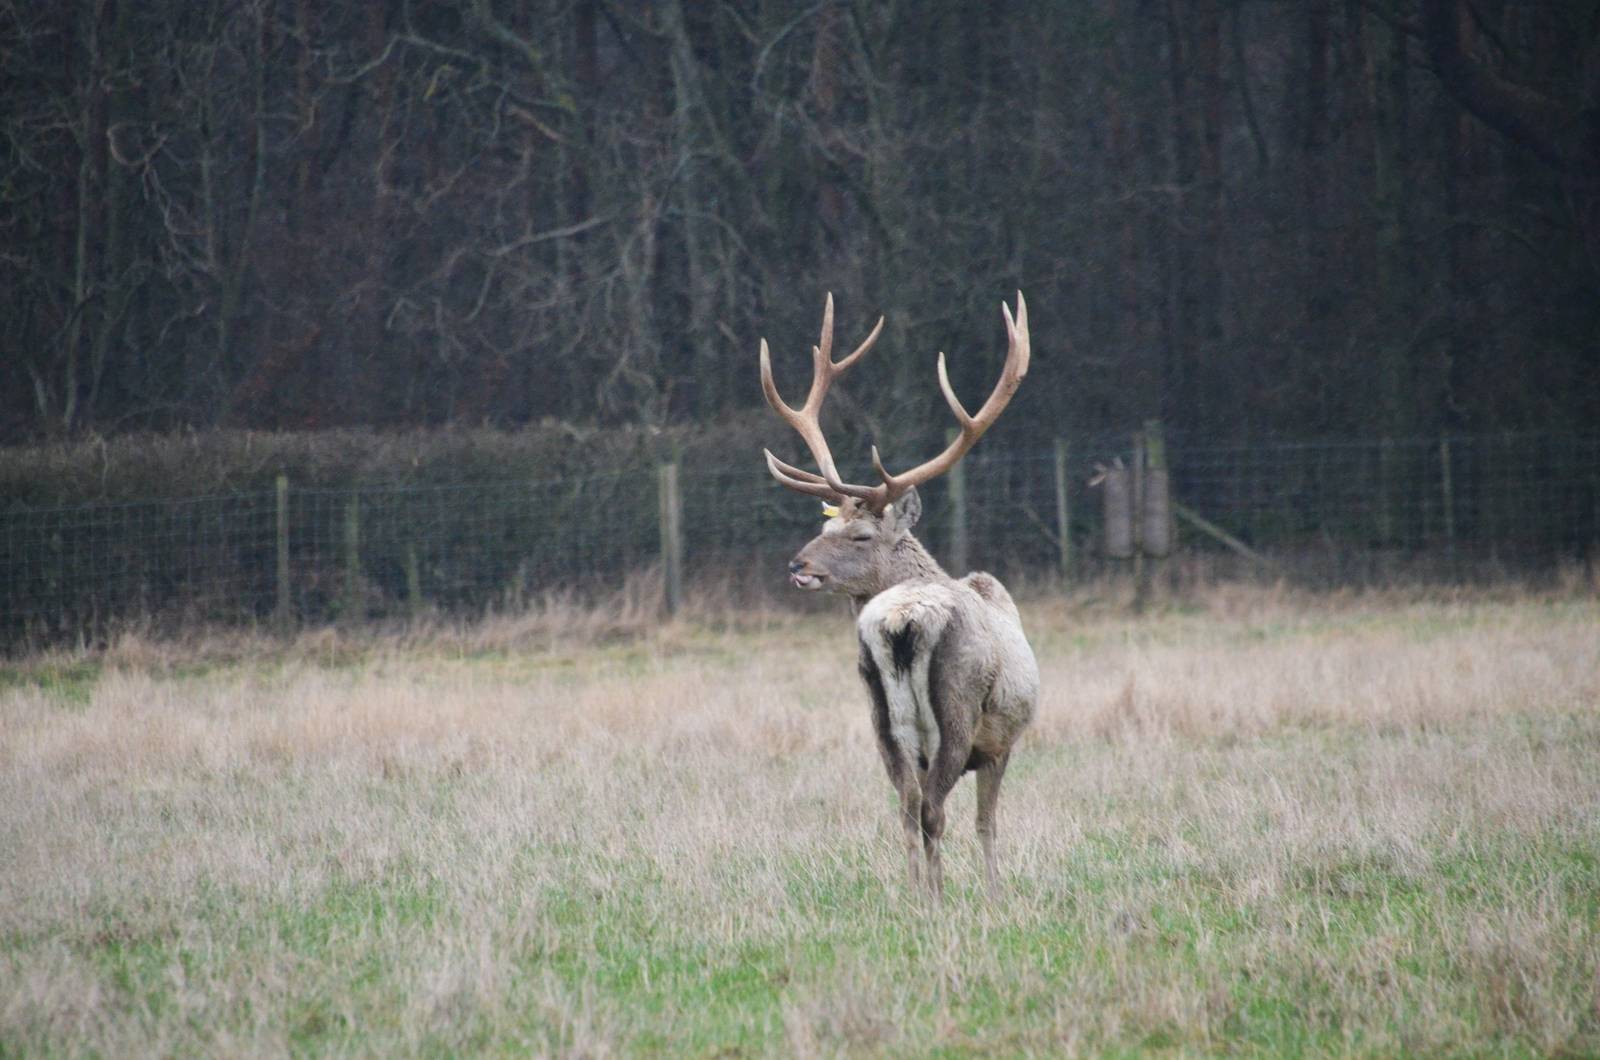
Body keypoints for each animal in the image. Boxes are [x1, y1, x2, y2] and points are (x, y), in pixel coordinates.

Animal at [758, 292, 1038, 899]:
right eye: (830, 525)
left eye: (859, 535)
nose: (797, 565)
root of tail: (901, 620)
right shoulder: (1000, 740)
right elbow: (987, 822)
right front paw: (994, 893)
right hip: (956, 710)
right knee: (932, 809)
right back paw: (934, 897)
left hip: (881, 718)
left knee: (907, 808)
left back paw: (915, 897)